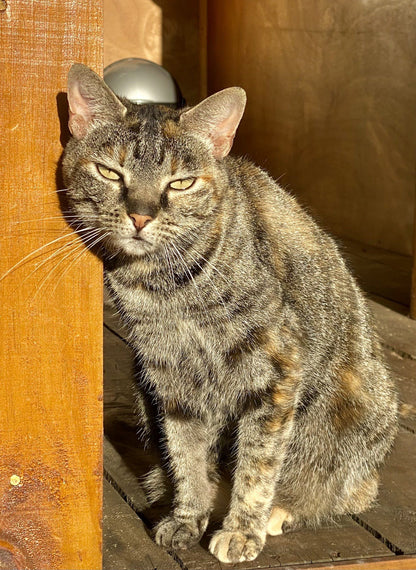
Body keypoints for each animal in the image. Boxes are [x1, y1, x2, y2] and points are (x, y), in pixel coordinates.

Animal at [61, 64, 396, 560]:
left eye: (181, 183)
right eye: (109, 172)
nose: (140, 216)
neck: (166, 287)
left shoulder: (276, 371)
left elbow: (258, 464)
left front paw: (242, 528)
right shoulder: (168, 375)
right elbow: (186, 455)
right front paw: (188, 516)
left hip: (358, 407)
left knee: (349, 488)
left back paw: (284, 510)